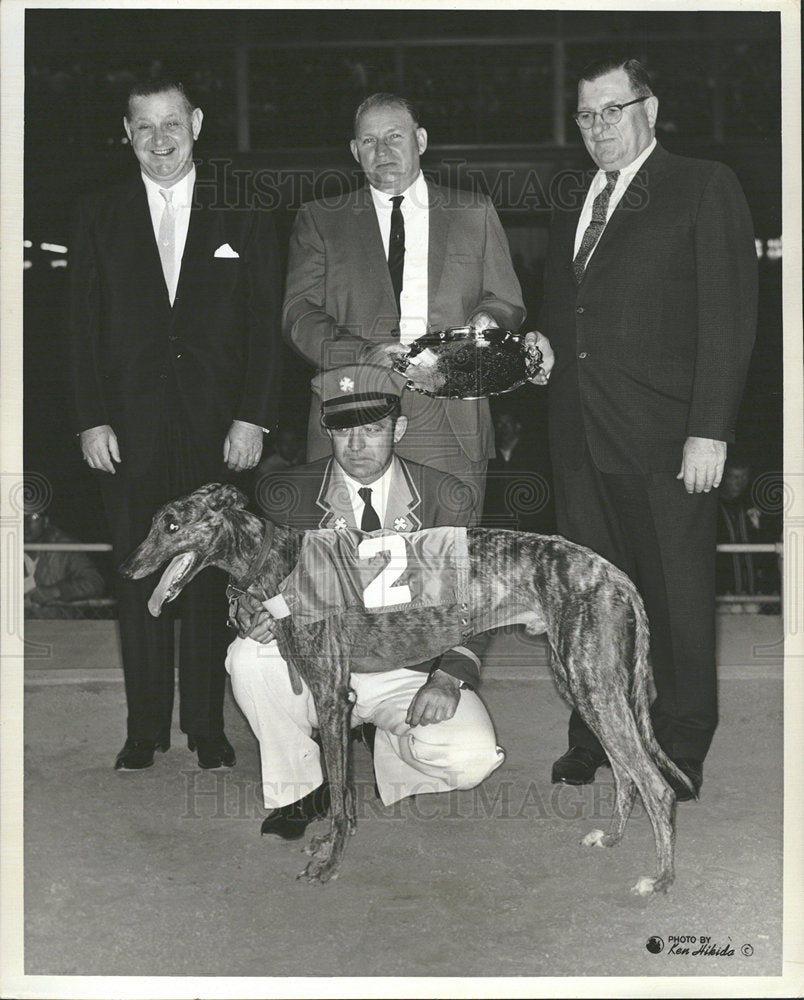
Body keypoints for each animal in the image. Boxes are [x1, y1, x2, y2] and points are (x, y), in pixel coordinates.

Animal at [119, 482, 692, 892]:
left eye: (173, 524)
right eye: (152, 523)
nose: (126, 569)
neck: (277, 560)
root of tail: (614, 574)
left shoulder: (330, 697)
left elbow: (342, 796)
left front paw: (329, 863)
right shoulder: (335, 695)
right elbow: (337, 794)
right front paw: (324, 844)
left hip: (593, 682)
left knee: (655, 783)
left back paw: (662, 879)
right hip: (584, 684)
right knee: (626, 773)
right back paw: (613, 838)